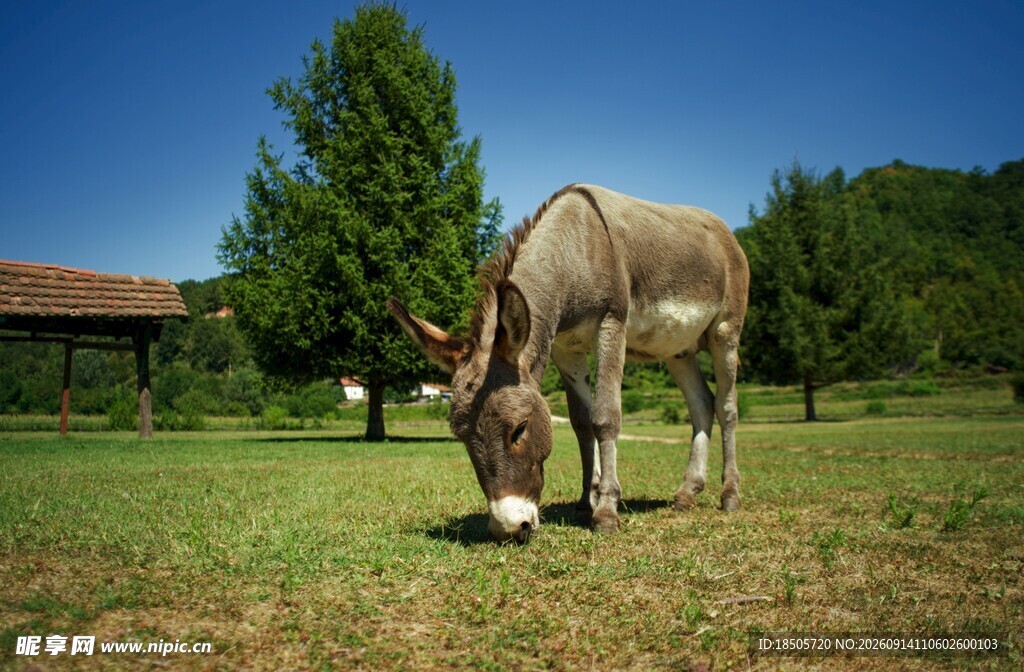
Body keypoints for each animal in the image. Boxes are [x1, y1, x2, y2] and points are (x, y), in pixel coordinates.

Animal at [388, 184, 749, 542]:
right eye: (462, 438)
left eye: (519, 429)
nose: (509, 529)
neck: (572, 253)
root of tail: (724, 230)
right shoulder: (566, 349)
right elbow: (581, 422)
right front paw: (588, 500)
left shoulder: (611, 324)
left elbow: (605, 418)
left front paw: (606, 511)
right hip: (678, 349)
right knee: (701, 405)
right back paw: (688, 492)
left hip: (725, 332)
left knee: (726, 407)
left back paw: (730, 495)